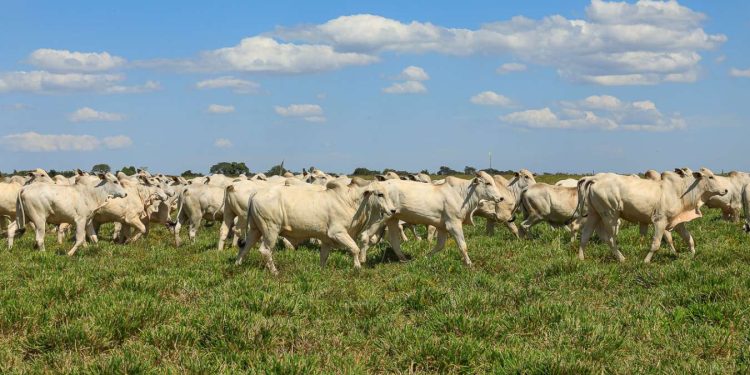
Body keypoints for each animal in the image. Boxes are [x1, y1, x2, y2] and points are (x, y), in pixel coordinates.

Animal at [239, 178, 400, 274]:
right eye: (380, 194)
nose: (393, 210)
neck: (351, 201)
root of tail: (256, 193)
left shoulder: (326, 239)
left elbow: (324, 256)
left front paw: (321, 272)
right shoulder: (338, 233)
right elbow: (354, 249)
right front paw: (357, 267)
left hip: (255, 230)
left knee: (245, 247)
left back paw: (237, 265)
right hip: (270, 230)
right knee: (265, 250)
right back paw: (275, 272)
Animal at [364, 173, 512, 268]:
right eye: (487, 183)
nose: (500, 198)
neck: (462, 194)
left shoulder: (442, 227)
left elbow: (439, 246)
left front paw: (425, 257)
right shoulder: (454, 224)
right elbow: (463, 246)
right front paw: (469, 264)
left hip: (392, 219)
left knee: (394, 240)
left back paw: (403, 260)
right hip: (379, 219)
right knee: (366, 236)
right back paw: (362, 261)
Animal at [580, 169, 732, 262]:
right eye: (711, 176)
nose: (725, 190)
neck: (680, 191)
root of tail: (595, 178)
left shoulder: (677, 222)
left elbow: (689, 238)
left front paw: (692, 254)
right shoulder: (660, 221)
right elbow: (656, 244)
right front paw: (646, 261)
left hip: (594, 214)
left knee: (585, 235)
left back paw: (581, 258)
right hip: (610, 215)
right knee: (610, 239)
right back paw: (622, 259)